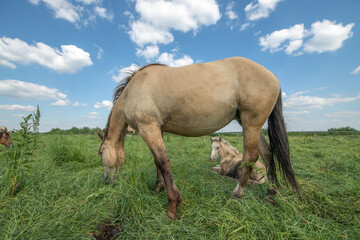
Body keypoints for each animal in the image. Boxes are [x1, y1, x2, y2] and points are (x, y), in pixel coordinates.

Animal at [97, 56, 300, 219]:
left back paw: (237, 194)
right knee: (267, 154)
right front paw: (157, 188)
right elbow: (157, 162)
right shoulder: (156, 129)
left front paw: (173, 205)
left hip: (251, 123)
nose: (106, 180)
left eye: (100, 152)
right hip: (250, 124)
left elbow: (163, 162)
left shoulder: (148, 128)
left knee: (251, 156)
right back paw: (271, 194)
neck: (132, 92)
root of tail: (272, 76)